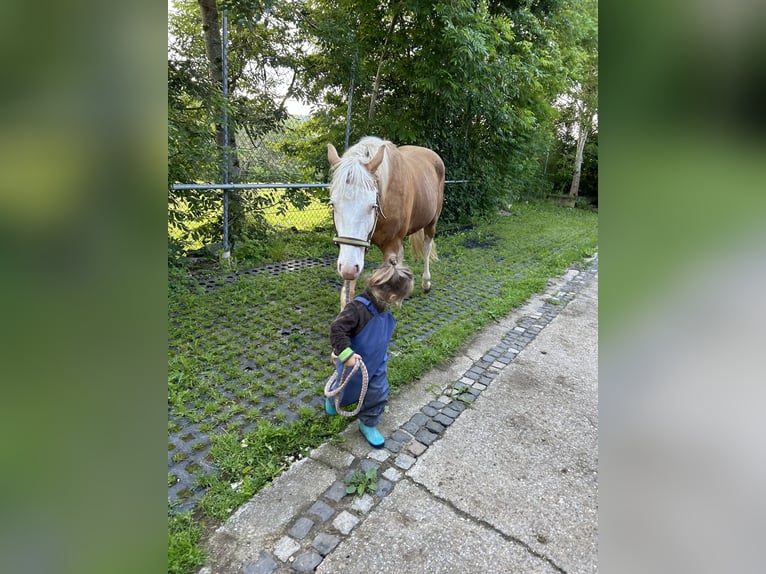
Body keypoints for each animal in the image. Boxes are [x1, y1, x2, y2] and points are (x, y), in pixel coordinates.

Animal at [328, 136, 448, 310]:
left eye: (372, 206)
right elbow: (347, 293)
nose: (348, 269)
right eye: (333, 204)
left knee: (426, 247)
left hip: (432, 222)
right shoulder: (357, 249)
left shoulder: (391, 245)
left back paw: (426, 282)